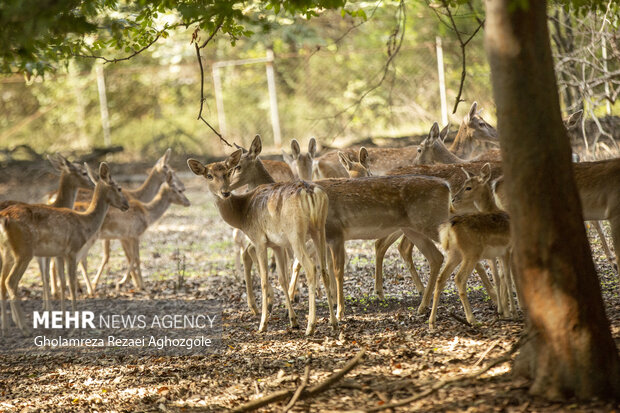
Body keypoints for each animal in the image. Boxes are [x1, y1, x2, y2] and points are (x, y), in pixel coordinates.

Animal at [0, 162, 128, 332]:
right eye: (119, 188)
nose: (126, 205)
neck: (84, 223)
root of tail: (4, 219)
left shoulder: (59, 253)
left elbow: (62, 282)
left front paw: (63, 319)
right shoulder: (72, 250)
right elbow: (71, 284)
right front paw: (77, 321)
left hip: (7, 252)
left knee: (2, 281)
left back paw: (7, 328)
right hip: (23, 251)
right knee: (10, 281)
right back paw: (24, 328)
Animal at [188, 152, 336, 334]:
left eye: (228, 171)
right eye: (209, 175)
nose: (225, 192)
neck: (242, 214)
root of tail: (310, 192)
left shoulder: (259, 238)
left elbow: (265, 279)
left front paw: (263, 324)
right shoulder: (277, 245)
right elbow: (282, 278)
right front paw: (293, 321)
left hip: (296, 233)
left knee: (310, 267)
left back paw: (310, 326)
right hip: (320, 229)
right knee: (323, 269)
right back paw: (333, 322)